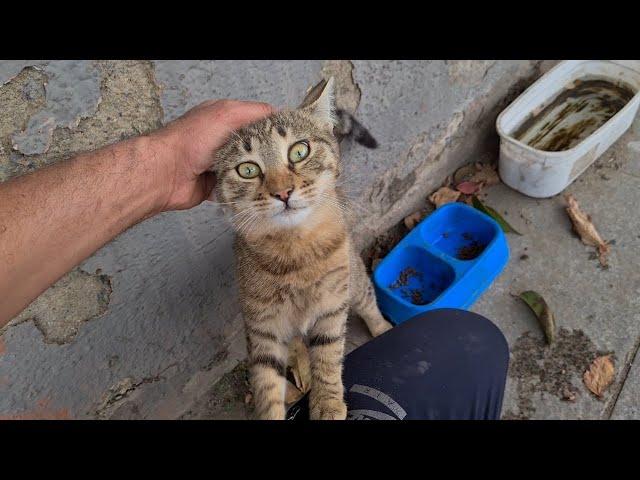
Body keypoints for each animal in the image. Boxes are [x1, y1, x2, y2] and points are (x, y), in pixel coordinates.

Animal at [214, 79, 390, 420]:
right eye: (247, 170)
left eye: (299, 151)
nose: (283, 192)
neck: (294, 249)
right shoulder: (262, 328)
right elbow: (266, 383)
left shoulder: (332, 307)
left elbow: (328, 356)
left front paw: (327, 402)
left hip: (354, 279)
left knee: (367, 299)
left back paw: (383, 329)